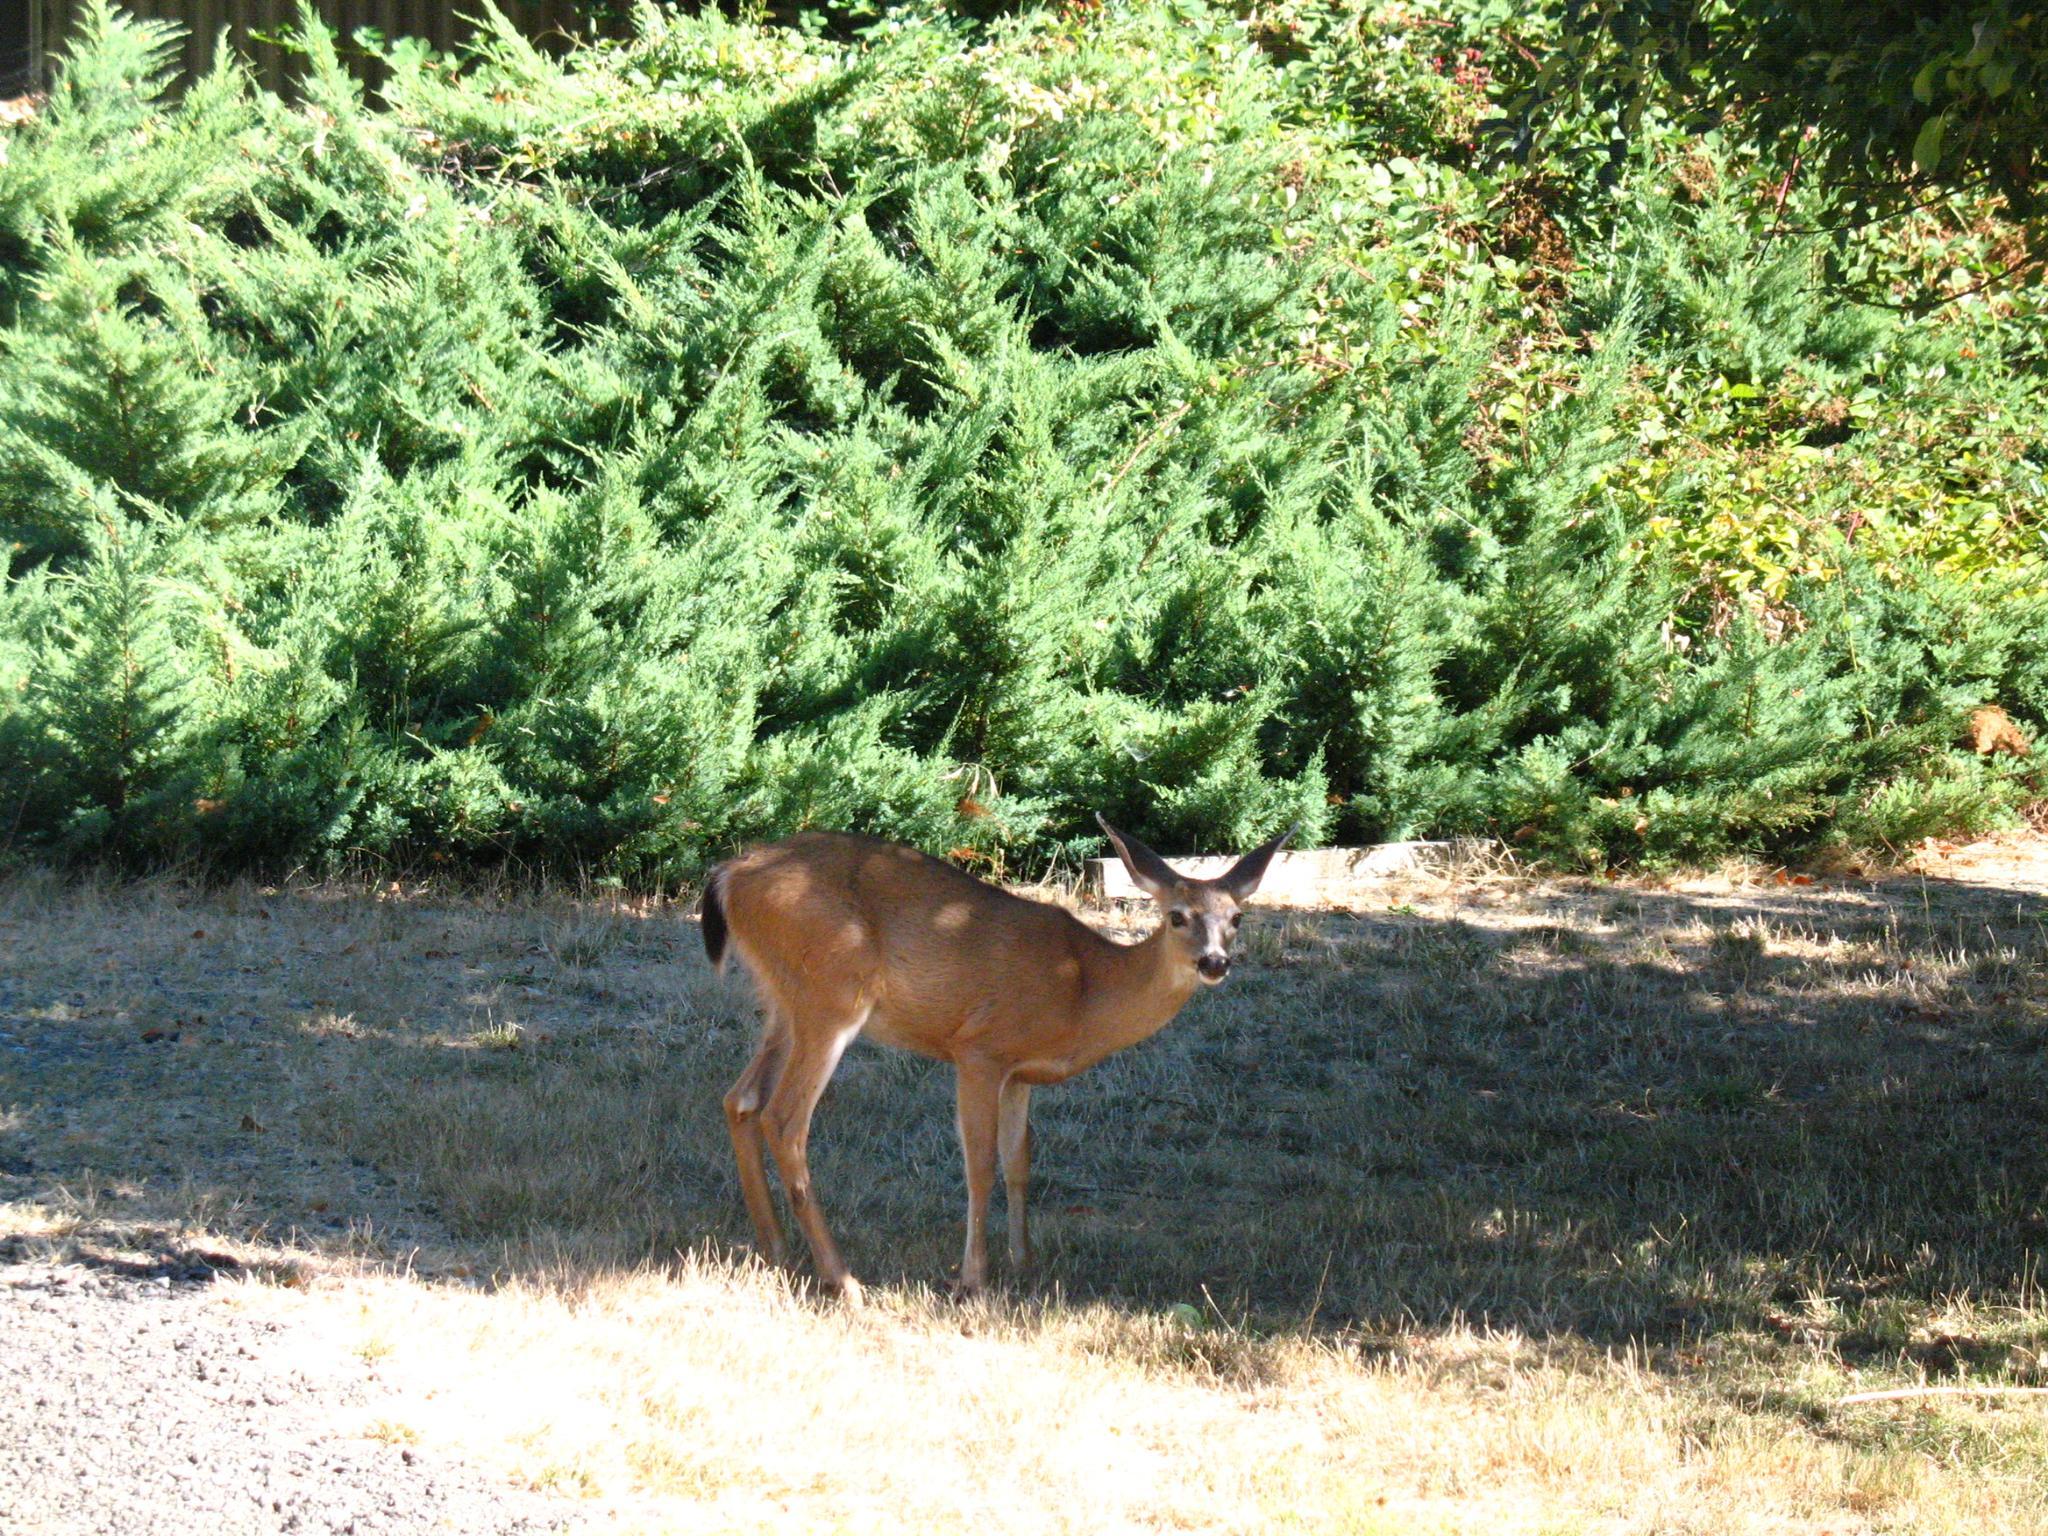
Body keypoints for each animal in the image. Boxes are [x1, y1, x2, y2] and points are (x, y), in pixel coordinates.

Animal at [696, 811, 1286, 1302]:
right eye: (1177, 917)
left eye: (1237, 918)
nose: (1215, 962)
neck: (1084, 991)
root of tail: (728, 874)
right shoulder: (979, 1047)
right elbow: (979, 1164)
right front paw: (973, 1278)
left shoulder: (1021, 1074)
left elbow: (1019, 1161)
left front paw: (1025, 1262)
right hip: (833, 990)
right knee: (785, 1118)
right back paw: (842, 1279)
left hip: (784, 1001)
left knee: (740, 1099)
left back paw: (776, 1249)